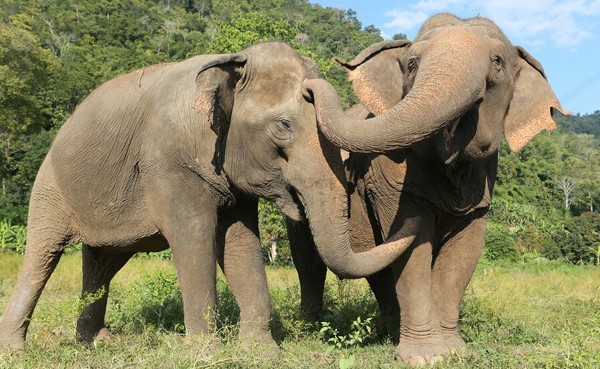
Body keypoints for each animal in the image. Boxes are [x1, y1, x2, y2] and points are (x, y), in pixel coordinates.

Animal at [0, 41, 420, 356]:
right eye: (283, 126)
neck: (231, 63)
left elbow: (239, 242)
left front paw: (261, 352)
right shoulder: (169, 162)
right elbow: (194, 237)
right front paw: (205, 353)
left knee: (103, 262)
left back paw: (94, 343)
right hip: (49, 185)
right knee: (43, 255)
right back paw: (18, 350)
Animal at [292, 12, 564, 364]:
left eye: (498, 62)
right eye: (411, 64)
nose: (307, 88)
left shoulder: (485, 184)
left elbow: (465, 252)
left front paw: (455, 352)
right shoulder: (389, 175)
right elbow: (413, 245)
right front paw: (427, 358)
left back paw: (390, 328)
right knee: (307, 257)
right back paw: (310, 327)